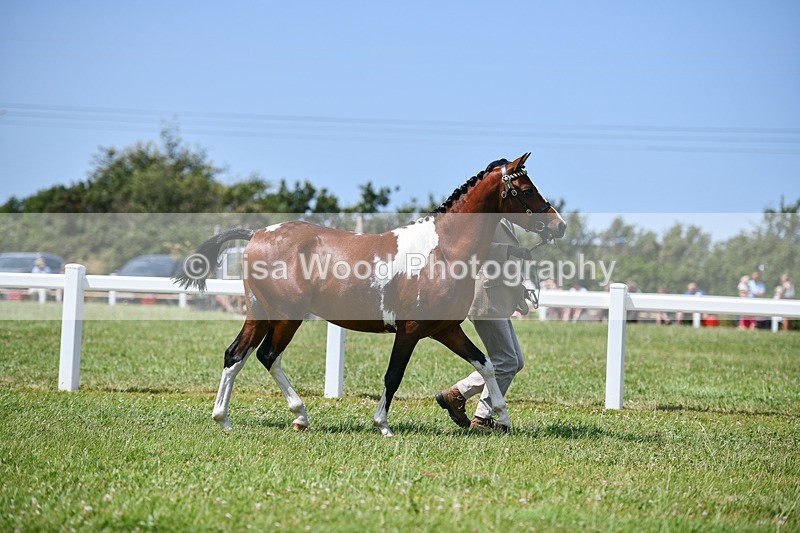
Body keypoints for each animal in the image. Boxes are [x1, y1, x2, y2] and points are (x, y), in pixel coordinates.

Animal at [175, 153, 566, 436]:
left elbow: (484, 363)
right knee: (267, 355)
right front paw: (383, 425)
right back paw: (299, 416)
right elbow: (393, 375)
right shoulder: (410, 331)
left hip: (259, 314)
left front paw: (503, 417)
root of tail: (257, 234)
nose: (558, 225)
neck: (443, 250)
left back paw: (224, 419)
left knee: (235, 355)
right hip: (286, 317)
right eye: (526, 189)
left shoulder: (445, 329)